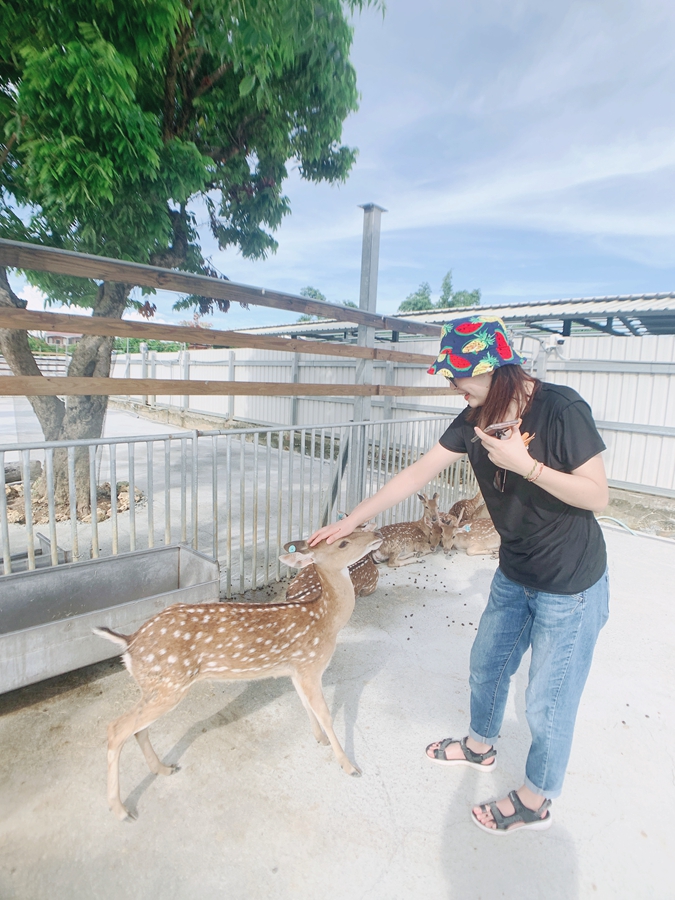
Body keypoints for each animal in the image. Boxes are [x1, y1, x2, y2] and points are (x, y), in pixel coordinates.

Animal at [92, 528, 382, 824]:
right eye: (343, 542)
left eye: (356, 530)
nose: (375, 533)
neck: (325, 620)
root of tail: (129, 642)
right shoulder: (310, 665)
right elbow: (324, 713)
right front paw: (349, 766)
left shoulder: (296, 669)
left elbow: (305, 705)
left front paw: (319, 739)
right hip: (169, 684)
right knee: (116, 728)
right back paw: (121, 810)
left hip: (154, 686)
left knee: (137, 729)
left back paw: (163, 769)